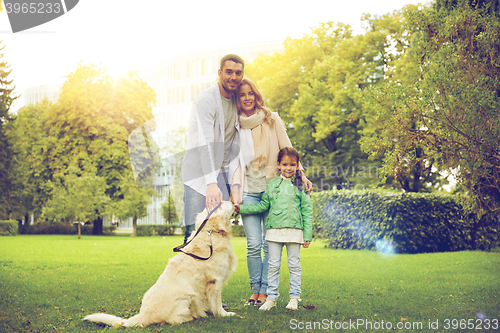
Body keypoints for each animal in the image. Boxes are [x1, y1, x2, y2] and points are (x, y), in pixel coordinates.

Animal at [83, 200, 238, 326]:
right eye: (220, 203)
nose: (232, 200)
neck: (211, 233)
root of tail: (144, 314)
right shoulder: (215, 281)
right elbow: (217, 302)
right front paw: (224, 314)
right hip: (188, 296)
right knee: (173, 320)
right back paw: (191, 318)